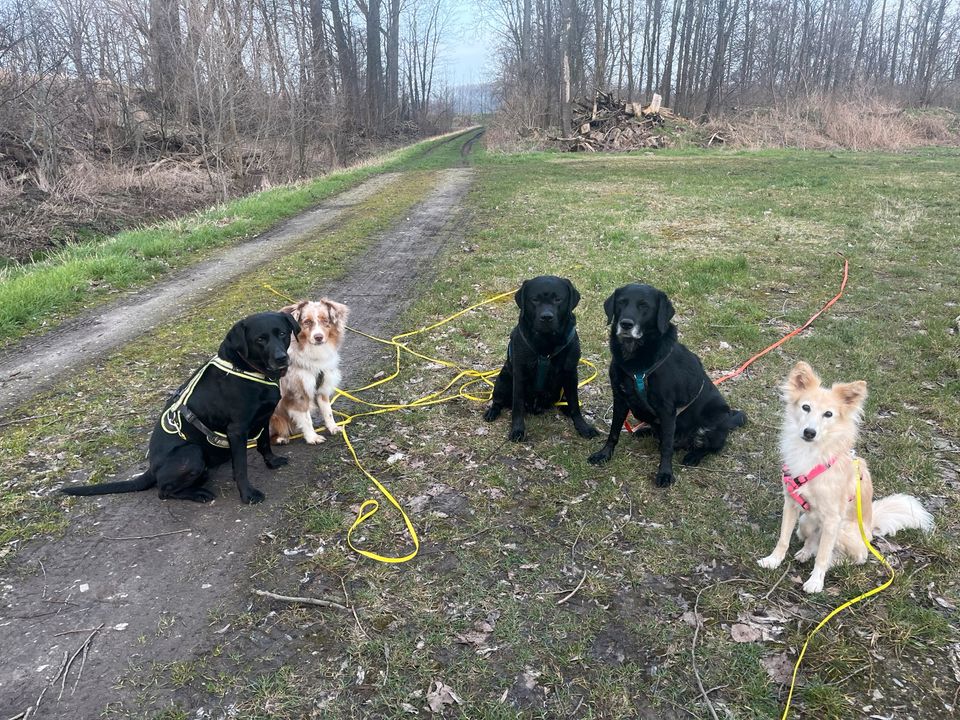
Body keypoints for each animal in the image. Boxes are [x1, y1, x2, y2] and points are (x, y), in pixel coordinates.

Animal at [62, 312, 300, 504]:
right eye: (260, 339)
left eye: (282, 333)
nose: (281, 358)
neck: (247, 370)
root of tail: (152, 469)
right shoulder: (237, 429)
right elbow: (241, 468)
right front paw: (248, 495)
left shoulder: (263, 417)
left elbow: (263, 444)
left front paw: (272, 462)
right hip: (192, 453)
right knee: (163, 491)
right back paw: (198, 494)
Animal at [484, 276, 596, 442]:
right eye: (534, 300)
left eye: (558, 299)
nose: (546, 317)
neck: (546, 343)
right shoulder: (519, 374)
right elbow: (517, 406)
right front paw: (517, 430)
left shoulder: (571, 373)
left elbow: (575, 404)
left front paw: (583, 427)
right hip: (502, 380)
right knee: (498, 401)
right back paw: (492, 412)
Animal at [584, 284, 752, 486]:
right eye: (621, 303)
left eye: (644, 306)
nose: (625, 324)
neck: (635, 357)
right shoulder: (620, 399)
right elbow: (614, 432)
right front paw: (604, 454)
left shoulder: (667, 410)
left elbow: (666, 447)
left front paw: (665, 473)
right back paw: (645, 431)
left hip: (715, 417)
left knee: (712, 446)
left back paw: (693, 456)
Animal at [756, 362, 928, 592]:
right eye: (806, 407)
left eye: (828, 414)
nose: (809, 432)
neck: (811, 454)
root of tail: (869, 529)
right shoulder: (791, 504)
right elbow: (783, 538)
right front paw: (773, 560)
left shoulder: (832, 519)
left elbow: (822, 556)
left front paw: (815, 582)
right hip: (805, 521)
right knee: (812, 542)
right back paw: (804, 553)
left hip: (844, 531)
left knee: (854, 556)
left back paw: (832, 562)